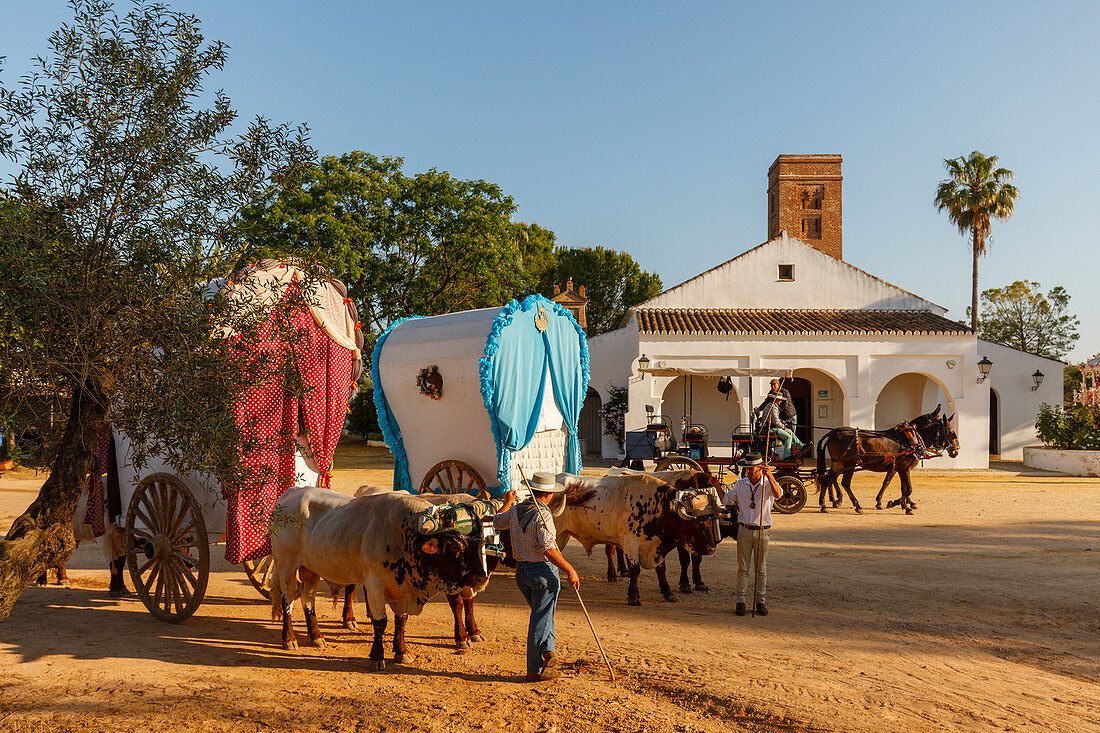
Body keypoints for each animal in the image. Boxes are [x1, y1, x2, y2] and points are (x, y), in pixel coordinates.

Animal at [814, 405, 959, 512]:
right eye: (950, 429)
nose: (956, 450)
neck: (909, 439)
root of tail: (832, 433)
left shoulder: (899, 468)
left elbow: (895, 485)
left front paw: (899, 503)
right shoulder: (904, 468)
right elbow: (908, 488)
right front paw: (899, 504)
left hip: (840, 463)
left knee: (828, 478)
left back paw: (825, 504)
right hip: (848, 463)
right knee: (843, 482)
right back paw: (855, 505)